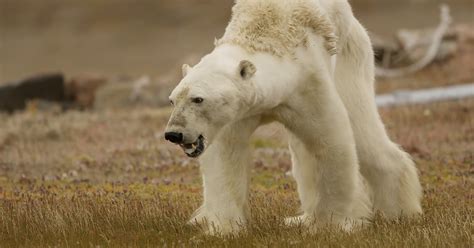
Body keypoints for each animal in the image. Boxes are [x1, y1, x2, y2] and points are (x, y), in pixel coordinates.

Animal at [164, 0, 422, 234]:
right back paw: (299, 219)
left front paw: (329, 225)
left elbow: (331, 144)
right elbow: (225, 156)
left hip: (351, 56)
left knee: (362, 131)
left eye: (198, 99)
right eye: (172, 100)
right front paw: (223, 228)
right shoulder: (238, 112)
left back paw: (399, 213)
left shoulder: (308, 85)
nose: (174, 133)